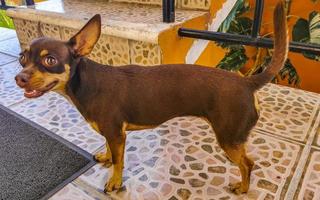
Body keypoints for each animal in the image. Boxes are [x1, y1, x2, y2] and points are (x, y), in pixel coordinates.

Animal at [14, 0, 288, 195]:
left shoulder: (117, 135)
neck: (85, 84)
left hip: (228, 139)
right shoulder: (111, 133)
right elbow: (110, 151)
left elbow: (119, 162)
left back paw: (242, 188)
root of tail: (247, 81)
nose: (19, 78)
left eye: (50, 61)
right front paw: (105, 157)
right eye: (22, 58)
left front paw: (115, 182)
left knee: (248, 164)